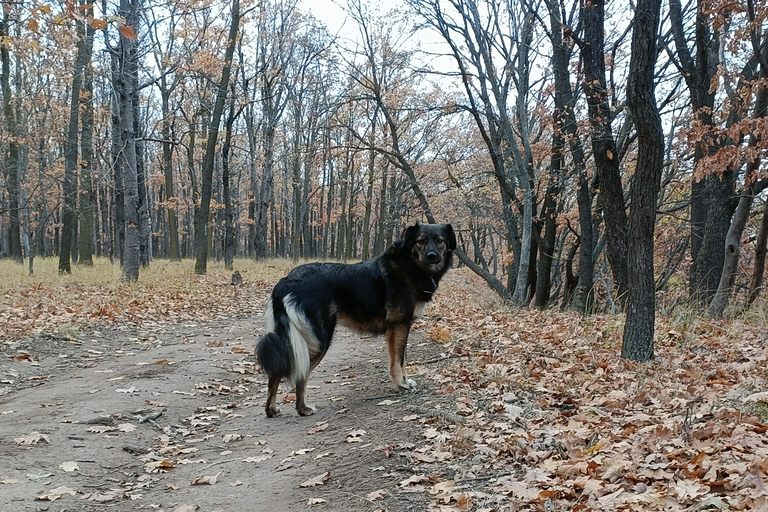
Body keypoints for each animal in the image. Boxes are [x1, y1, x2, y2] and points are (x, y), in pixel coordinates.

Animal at [256, 222, 456, 418]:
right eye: (421, 241)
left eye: (439, 241)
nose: (432, 256)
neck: (410, 264)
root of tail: (287, 280)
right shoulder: (400, 325)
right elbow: (399, 360)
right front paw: (402, 385)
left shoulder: (396, 329)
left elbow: (400, 359)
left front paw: (403, 381)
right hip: (318, 341)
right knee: (301, 374)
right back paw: (302, 408)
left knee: (276, 371)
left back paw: (271, 410)